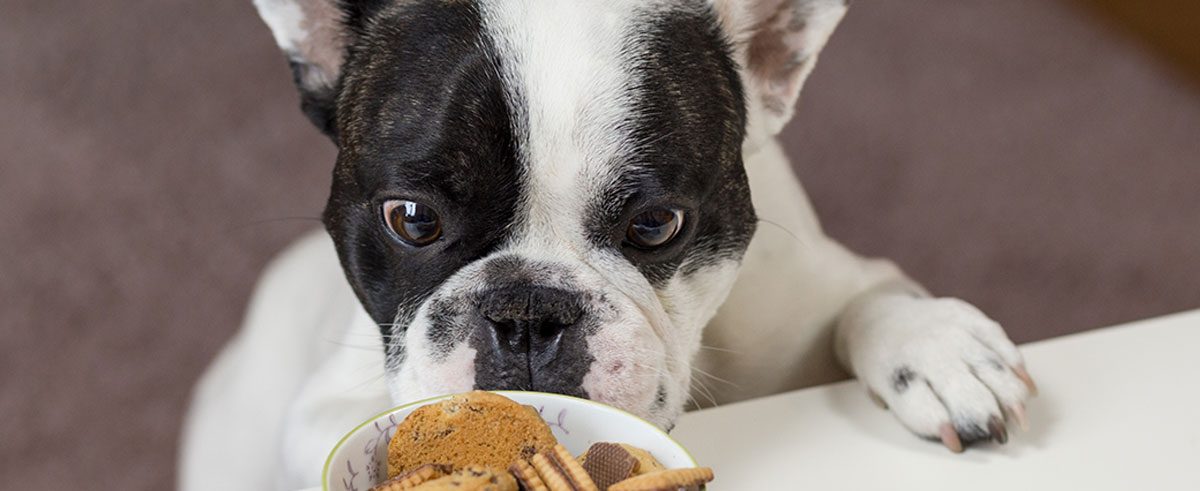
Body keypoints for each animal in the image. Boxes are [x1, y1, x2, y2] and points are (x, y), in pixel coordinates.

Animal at [175, 1, 1032, 487]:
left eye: (656, 225)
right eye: (412, 219)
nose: (526, 312)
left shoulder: (819, 288)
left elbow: (872, 299)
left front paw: (940, 348)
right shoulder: (324, 409)